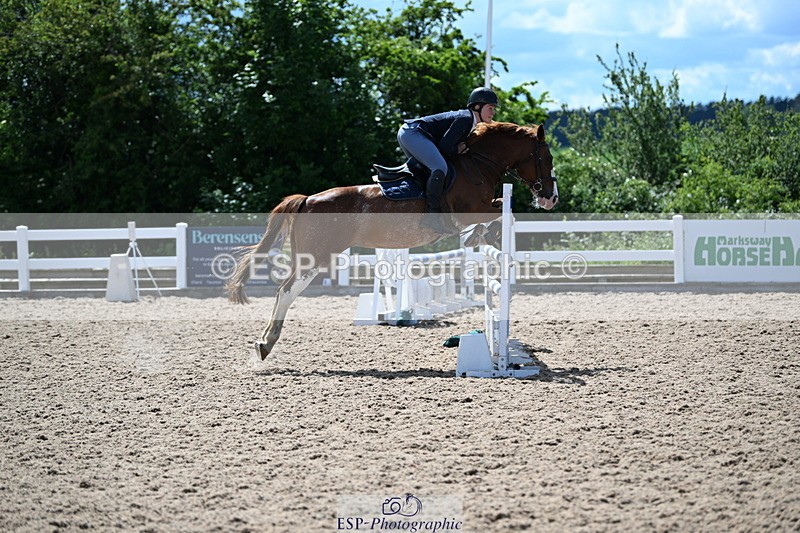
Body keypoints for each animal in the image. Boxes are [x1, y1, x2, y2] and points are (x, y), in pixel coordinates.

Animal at [226, 121, 558, 359]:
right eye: (546, 157)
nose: (551, 198)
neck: (478, 162)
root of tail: (307, 200)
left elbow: (502, 214)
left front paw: (482, 235)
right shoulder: (468, 210)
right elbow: (502, 213)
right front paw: (482, 233)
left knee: (285, 290)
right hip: (316, 257)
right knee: (286, 291)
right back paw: (265, 345)